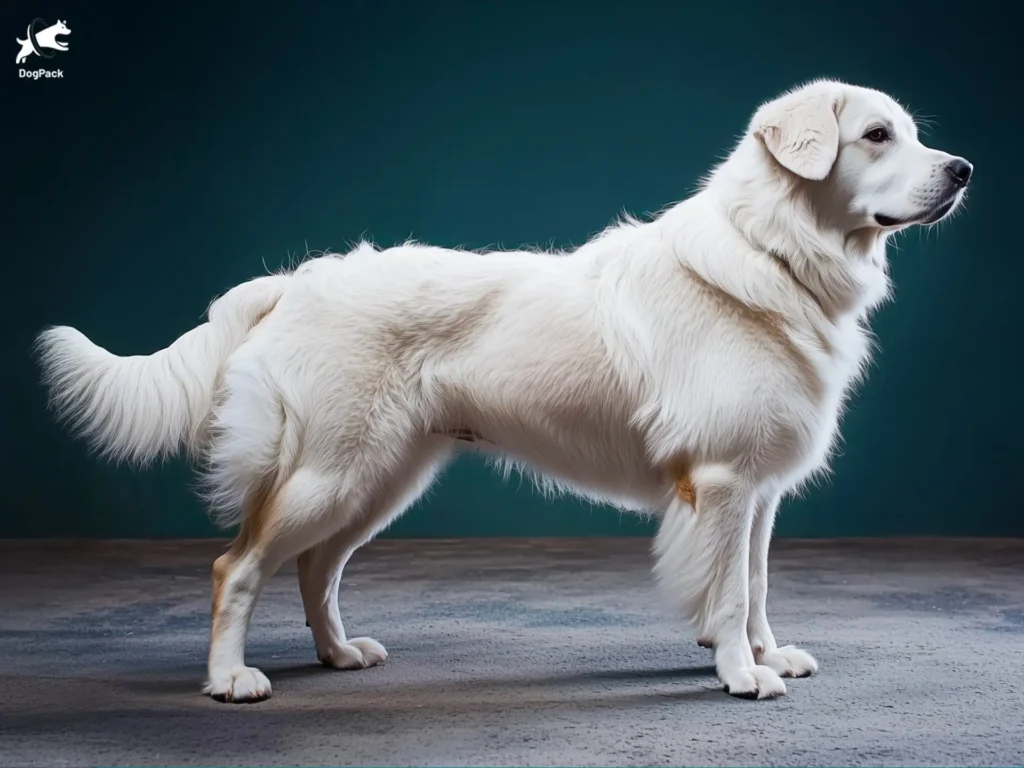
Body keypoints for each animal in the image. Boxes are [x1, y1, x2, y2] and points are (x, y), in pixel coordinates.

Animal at [36, 78, 970, 704]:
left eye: (911, 135)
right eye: (878, 135)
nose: (962, 169)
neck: (774, 253)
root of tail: (297, 280)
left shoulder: (760, 493)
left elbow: (760, 586)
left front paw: (767, 655)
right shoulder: (724, 480)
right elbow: (734, 591)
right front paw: (743, 675)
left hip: (381, 480)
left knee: (314, 570)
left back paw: (339, 656)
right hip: (333, 473)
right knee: (237, 565)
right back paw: (232, 678)